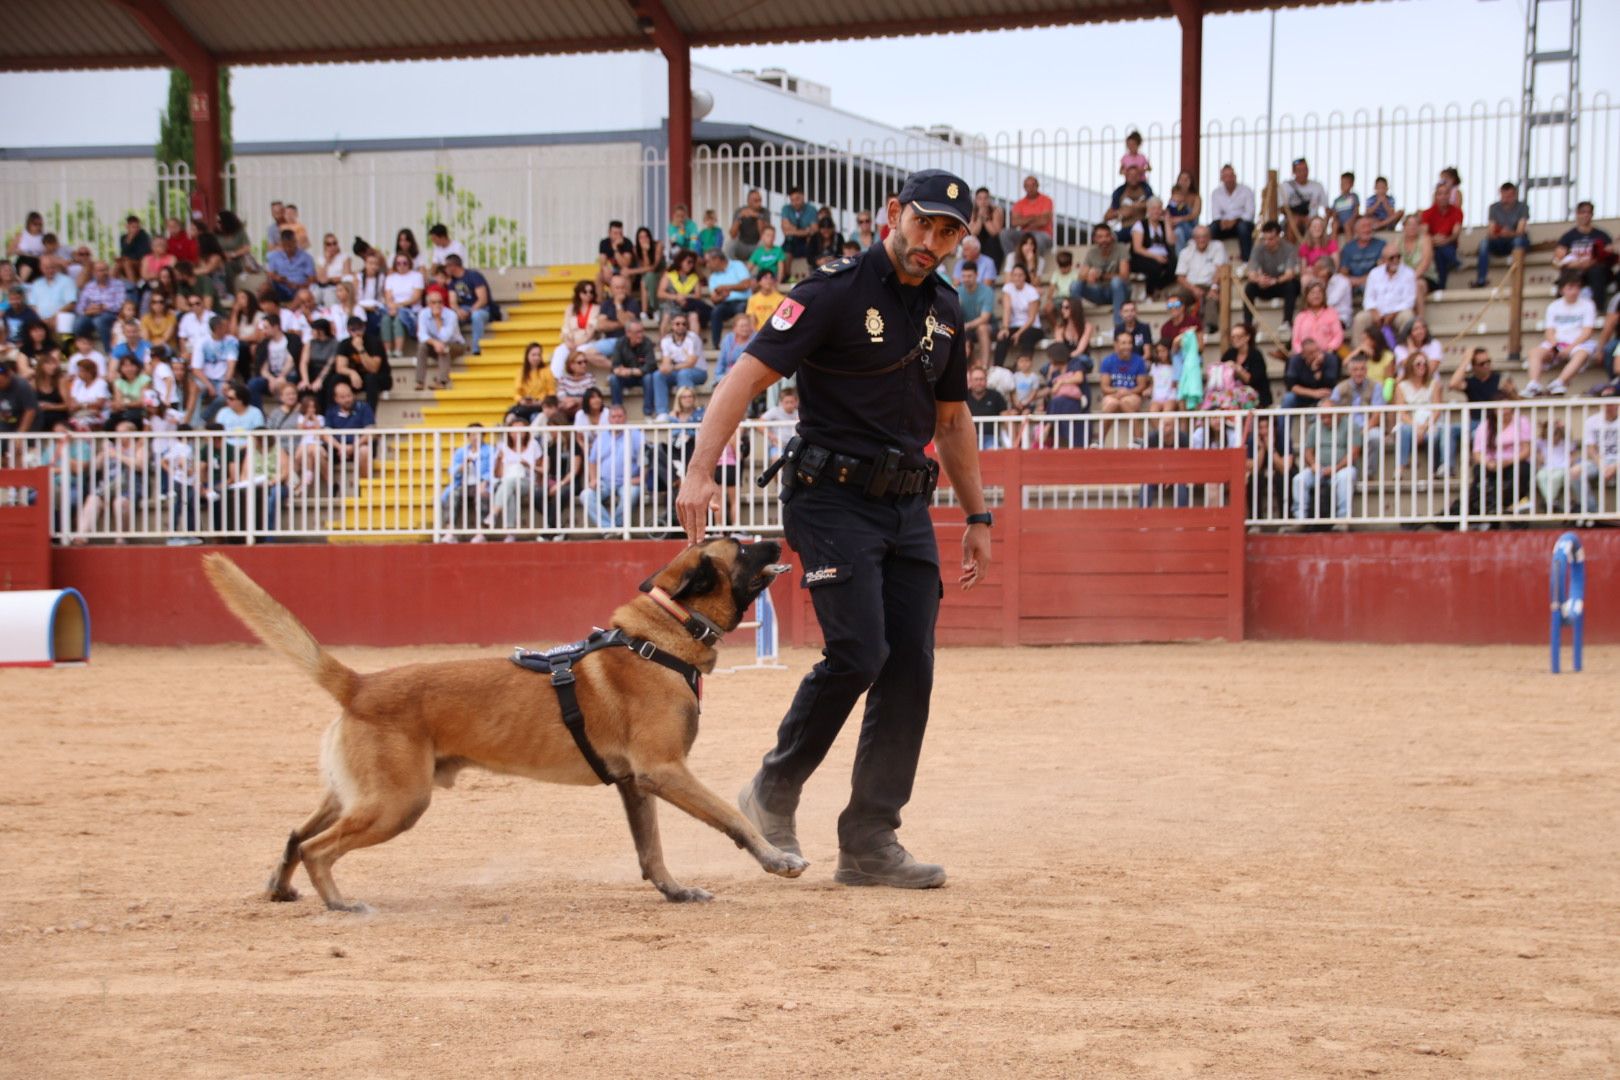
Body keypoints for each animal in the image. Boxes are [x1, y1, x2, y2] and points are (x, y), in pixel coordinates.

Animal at [202, 540, 810, 913]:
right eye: (741, 545)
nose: (777, 540)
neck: (659, 638)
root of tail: (360, 685)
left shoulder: (637, 785)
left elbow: (651, 852)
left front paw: (675, 891)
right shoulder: (666, 772)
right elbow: (733, 818)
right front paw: (777, 859)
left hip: (357, 797)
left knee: (294, 835)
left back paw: (280, 889)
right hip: (397, 804)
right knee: (317, 848)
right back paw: (340, 902)